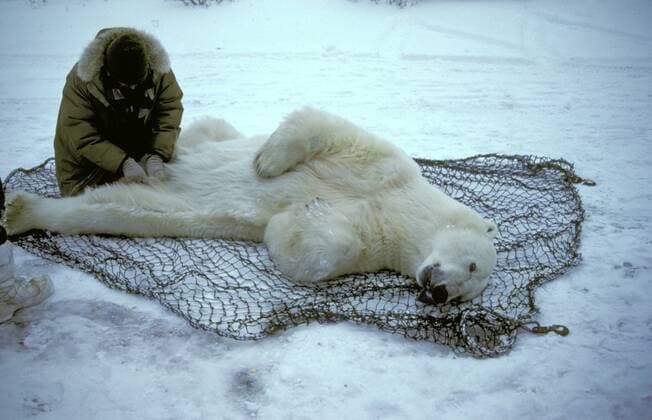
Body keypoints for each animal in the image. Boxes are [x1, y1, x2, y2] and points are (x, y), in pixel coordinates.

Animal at [4, 107, 498, 304]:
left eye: (465, 297)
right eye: (474, 266)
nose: (439, 293)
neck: (398, 209)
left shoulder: (375, 239)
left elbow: (329, 247)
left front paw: (294, 220)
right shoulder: (388, 167)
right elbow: (325, 128)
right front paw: (268, 164)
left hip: (172, 209)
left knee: (121, 209)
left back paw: (23, 211)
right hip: (197, 148)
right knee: (207, 132)